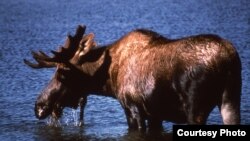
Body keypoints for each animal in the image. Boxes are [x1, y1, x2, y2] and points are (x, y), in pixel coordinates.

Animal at [24, 24, 241, 131]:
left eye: (62, 72)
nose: (39, 106)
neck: (109, 80)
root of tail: (228, 58)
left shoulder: (133, 108)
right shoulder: (155, 114)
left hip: (195, 109)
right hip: (231, 100)